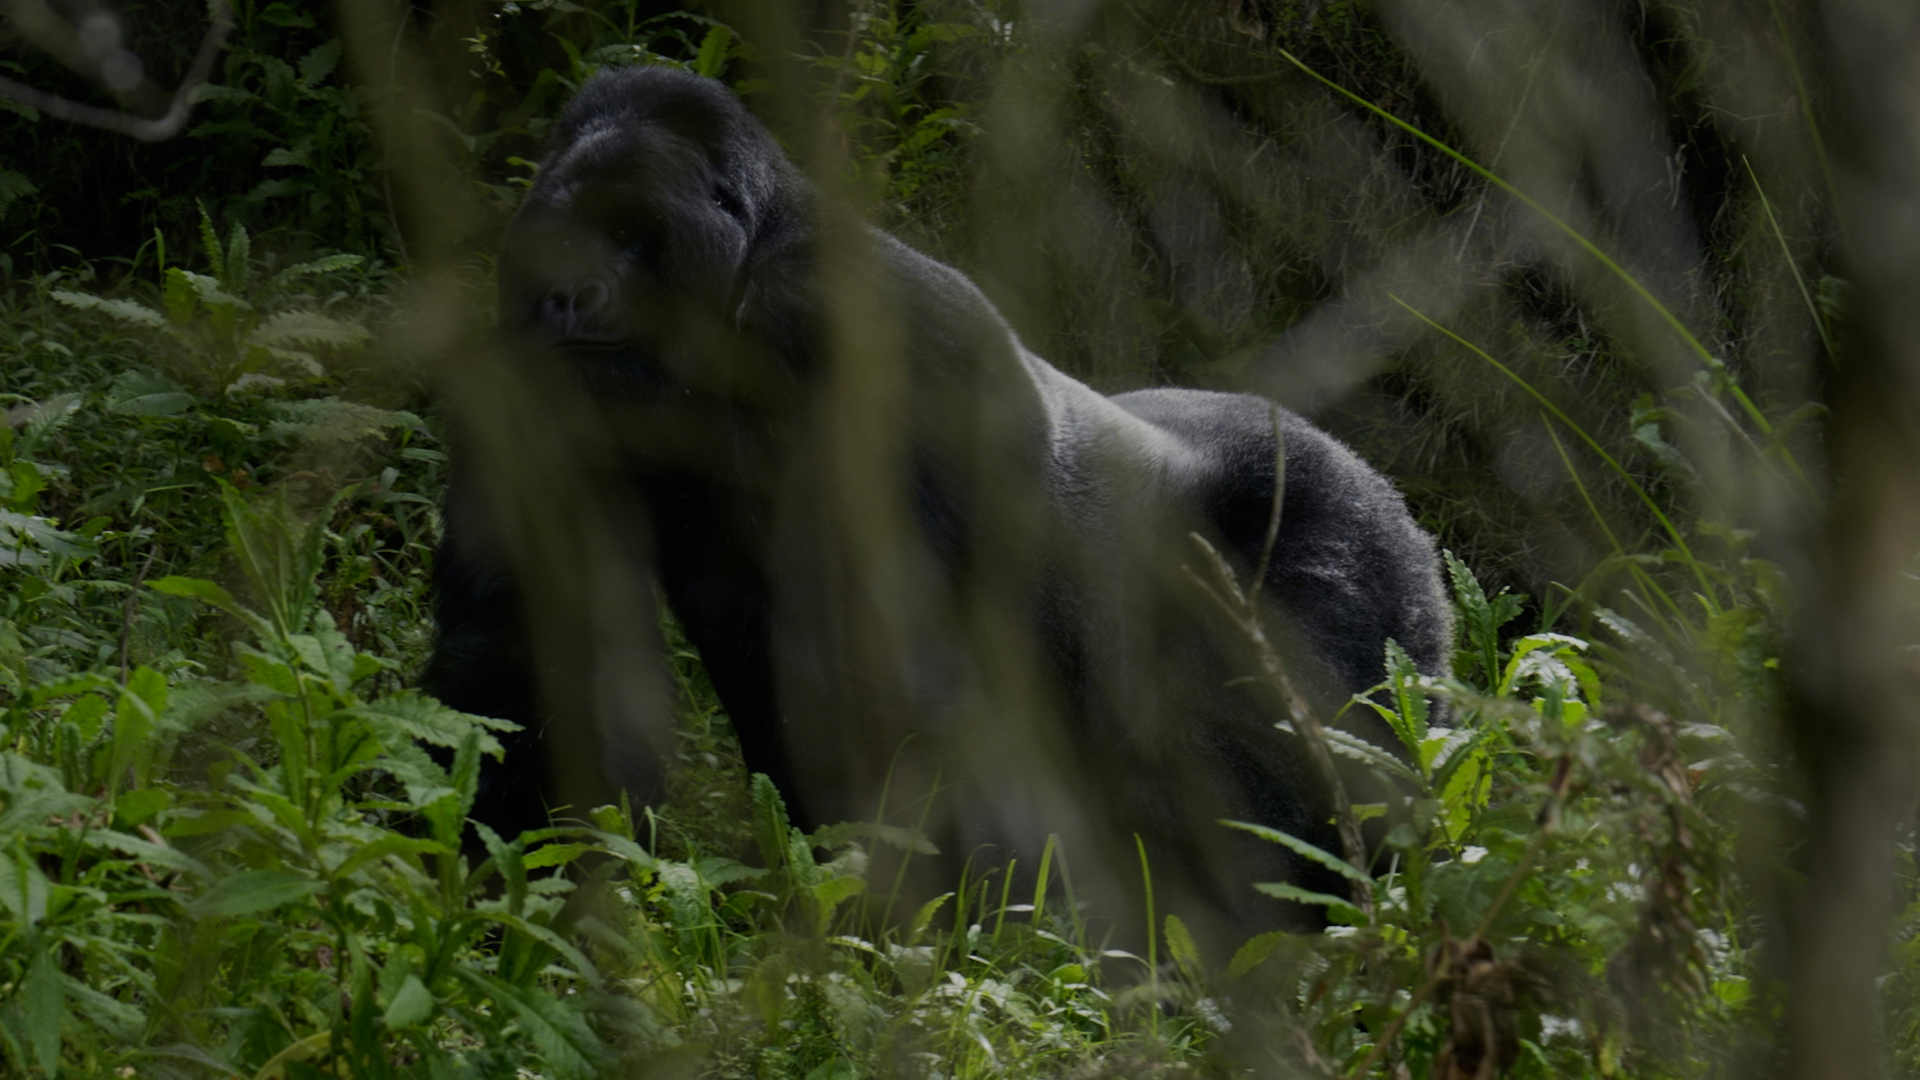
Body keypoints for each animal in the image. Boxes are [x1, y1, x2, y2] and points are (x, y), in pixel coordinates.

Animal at [424, 65, 1451, 933]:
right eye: (558, 239)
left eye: (629, 234)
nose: (567, 295)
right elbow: (524, 651)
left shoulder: (879, 332)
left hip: (1350, 546)